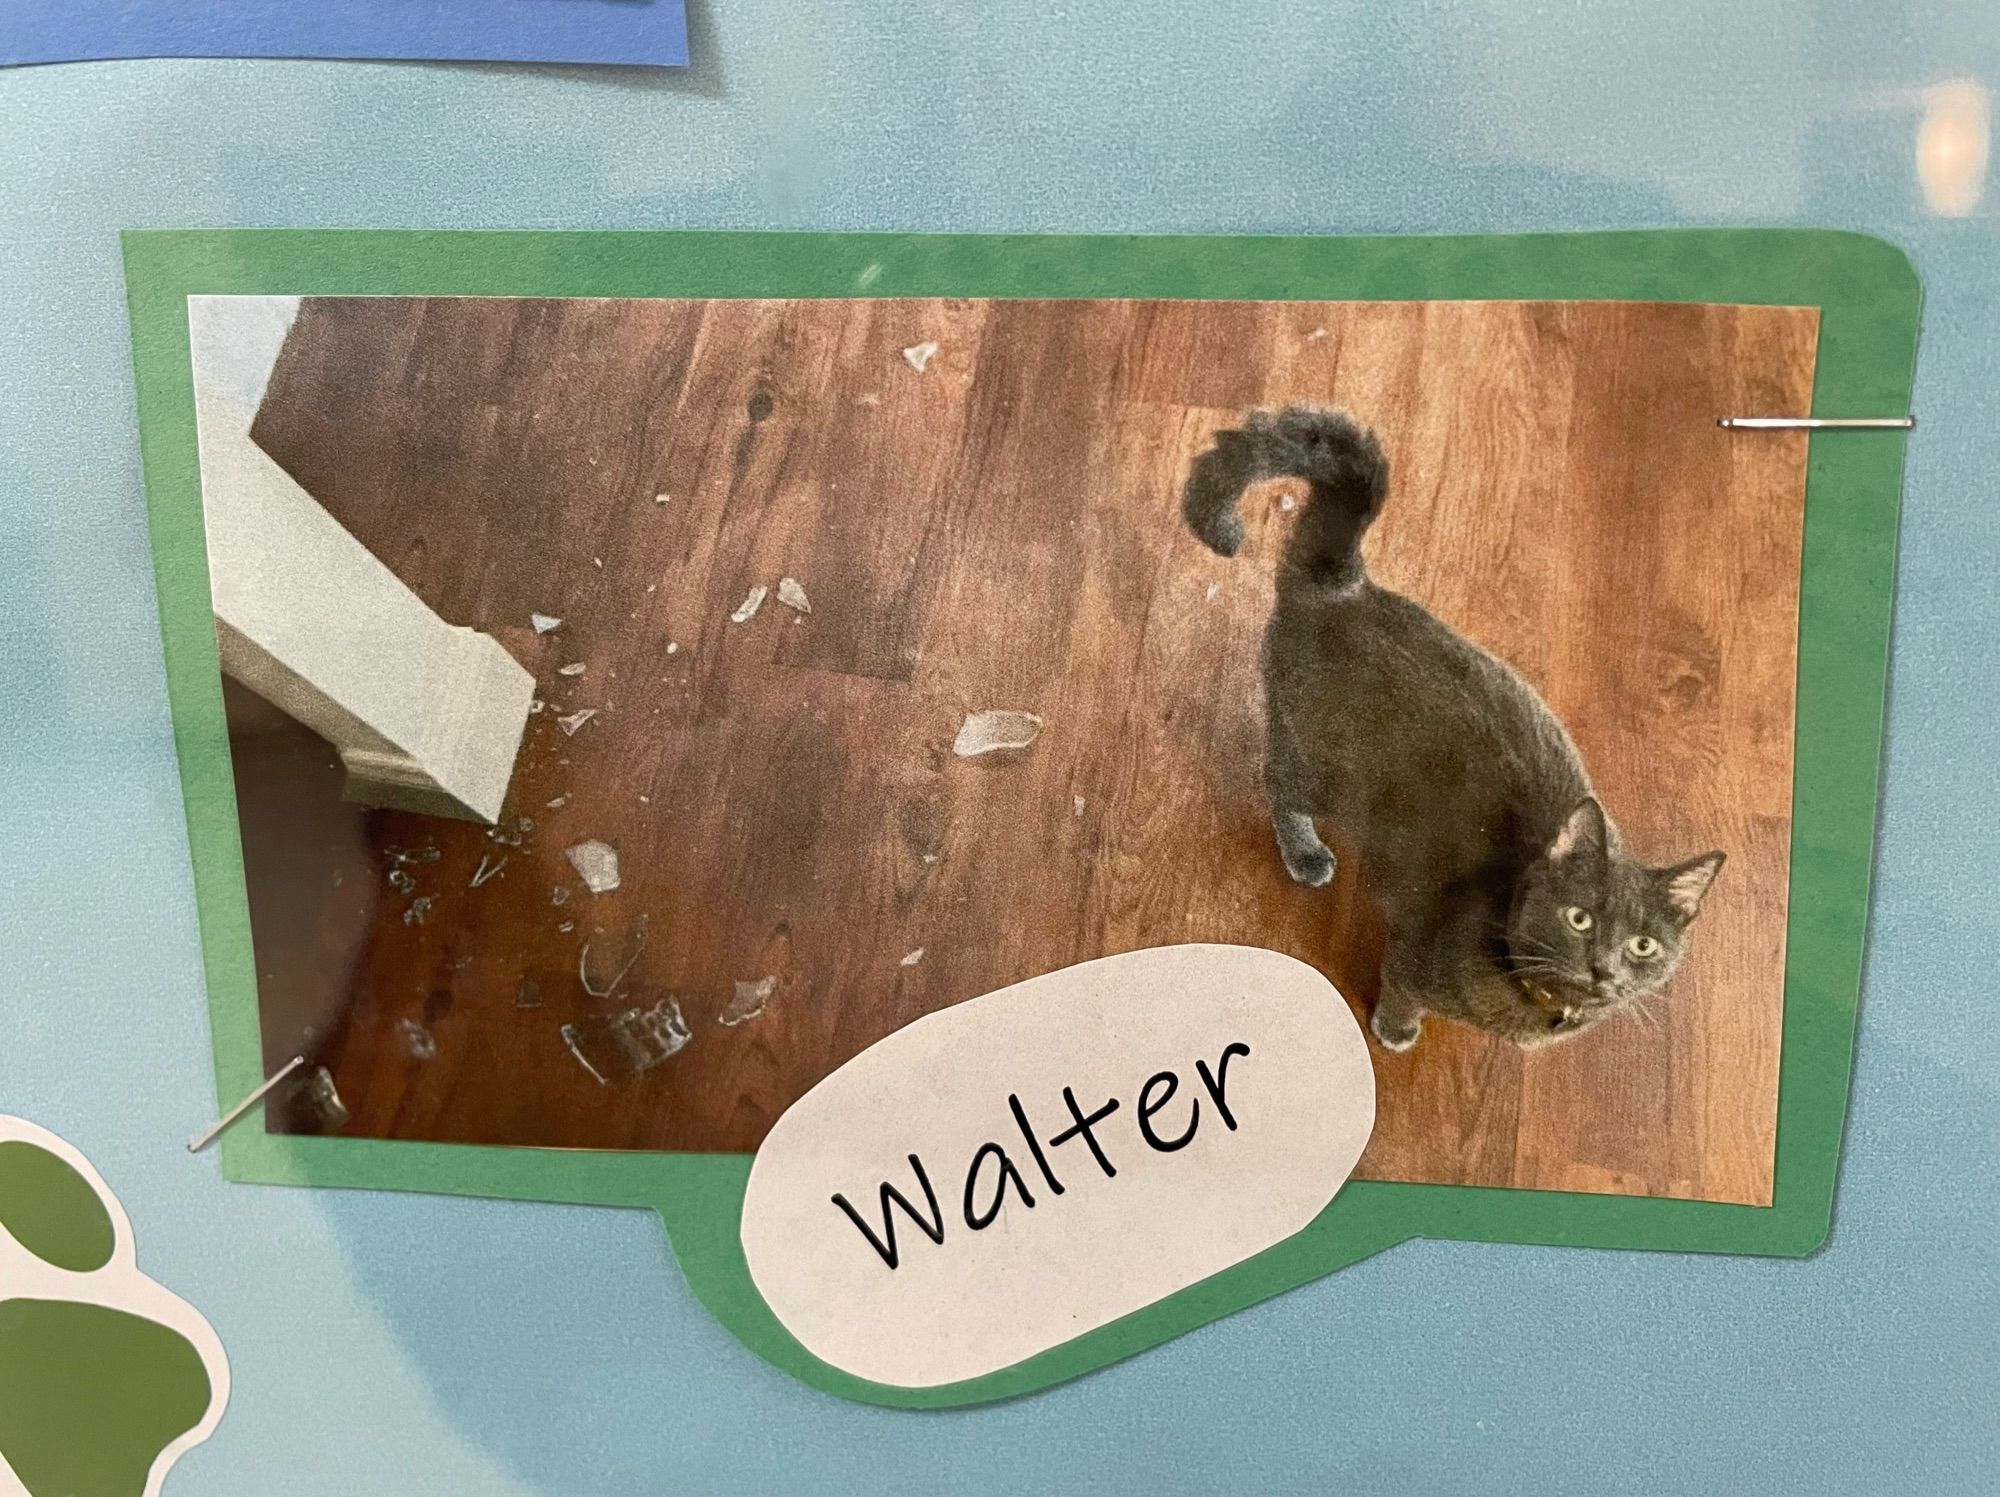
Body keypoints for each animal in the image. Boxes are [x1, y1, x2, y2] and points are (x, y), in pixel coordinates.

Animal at [1176, 404, 1728, 1048]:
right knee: (1276, 782)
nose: (1603, 969)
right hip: (1320, 766)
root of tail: (1344, 588)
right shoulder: (1414, 955)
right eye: (1579, 917)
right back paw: (1307, 854)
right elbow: (1401, 993)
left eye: (1644, 946)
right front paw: (1394, 1034)